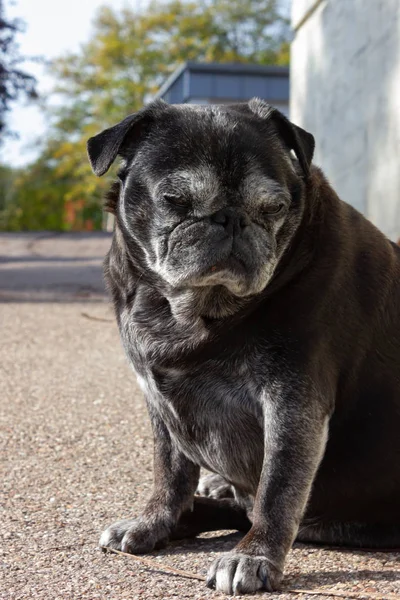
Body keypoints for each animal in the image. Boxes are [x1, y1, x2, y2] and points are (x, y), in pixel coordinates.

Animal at [86, 99, 400, 596]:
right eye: (174, 200)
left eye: (273, 207)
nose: (230, 218)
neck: (193, 311)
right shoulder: (160, 405)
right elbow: (169, 472)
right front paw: (155, 521)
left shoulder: (293, 404)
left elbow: (278, 487)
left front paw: (255, 555)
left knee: (254, 504)